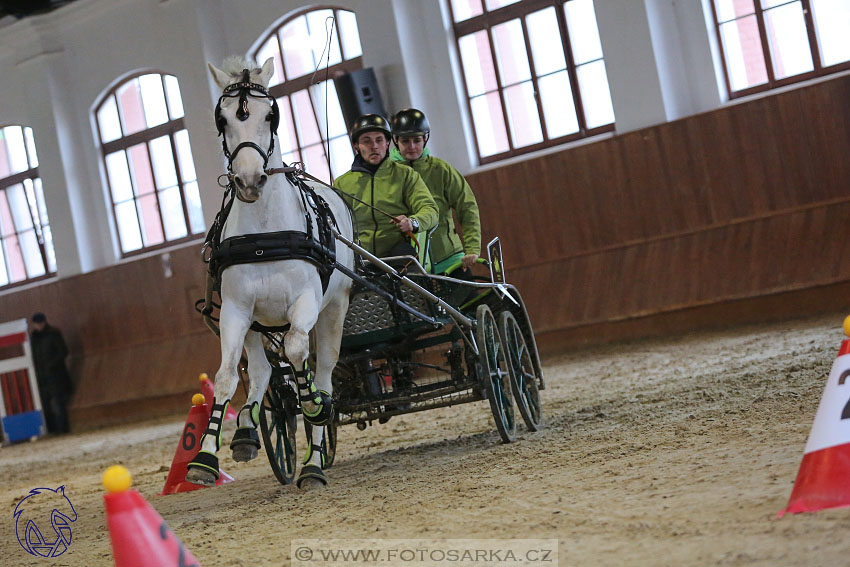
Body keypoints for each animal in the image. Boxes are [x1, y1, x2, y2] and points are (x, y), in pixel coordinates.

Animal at [187, 58, 352, 492]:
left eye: (270, 115)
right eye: (222, 119)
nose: (248, 180)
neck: (266, 235)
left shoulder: (307, 303)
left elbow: (296, 351)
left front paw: (314, 407)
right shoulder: (235, 311)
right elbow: (226, 378)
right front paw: (204, 458)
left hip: (333, 310)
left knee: (323, 371)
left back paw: (313, 461)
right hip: (256, 322)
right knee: (262, 370)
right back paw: (247, 429)